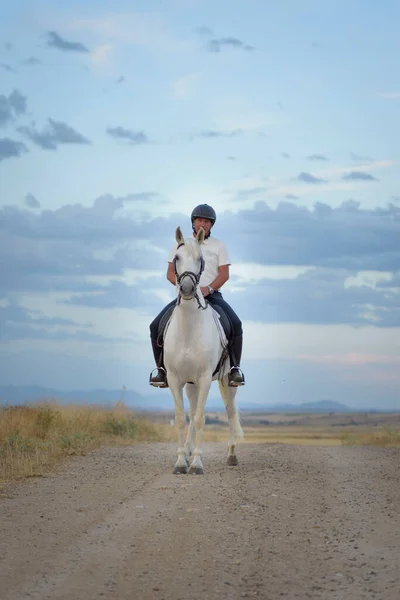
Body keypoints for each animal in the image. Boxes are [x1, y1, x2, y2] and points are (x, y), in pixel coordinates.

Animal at [162, 225, 244, 474]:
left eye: (201, 260)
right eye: (176, 258)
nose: (188, 288)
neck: (189, 327)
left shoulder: (206, 378)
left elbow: (200, 419)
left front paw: (197, 464)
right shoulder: (175, 378)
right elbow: (182, 418)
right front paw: (181, 461)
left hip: (227, 380)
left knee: (230, 411)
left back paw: (232, 454)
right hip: (191, 384)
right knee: (191, 411)